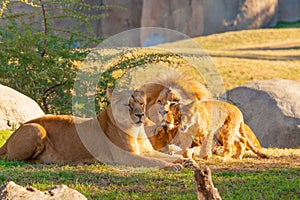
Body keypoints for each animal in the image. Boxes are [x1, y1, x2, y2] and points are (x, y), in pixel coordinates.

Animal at [0, 90, 191, 170]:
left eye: (141, 103)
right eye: (127, 105)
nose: (140, 115)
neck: (136, 130)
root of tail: (8, 140)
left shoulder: (146, 151)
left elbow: (166, 156)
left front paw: (186, 162)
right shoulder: (124, 156)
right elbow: (155, 162)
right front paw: (174, 166)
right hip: (36, 129)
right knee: (15, 159)